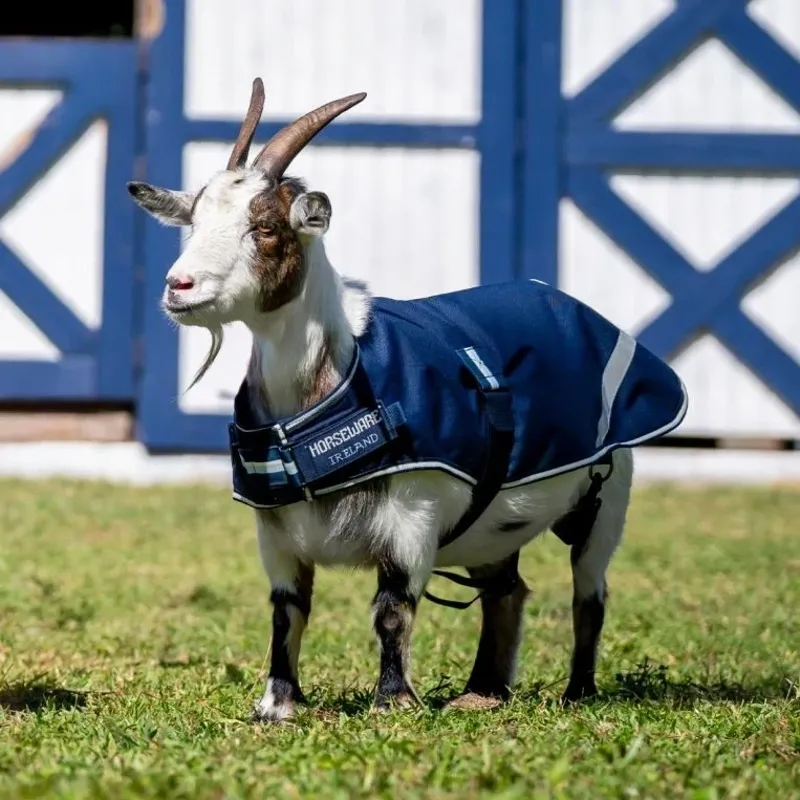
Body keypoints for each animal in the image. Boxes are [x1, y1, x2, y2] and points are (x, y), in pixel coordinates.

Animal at [127, 78, 687, 722]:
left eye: (265, 228)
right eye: (193, 223)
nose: (179, 287)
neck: (333, 387)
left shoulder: (413, 513)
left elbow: (392, 610)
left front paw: (392, 702)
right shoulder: (276, 534)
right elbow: (286, 612)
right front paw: (276, 706)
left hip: (608, 495)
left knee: (588, 594)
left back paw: (577, 694)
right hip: (494, 526)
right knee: (507, 590)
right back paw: (482, 692)